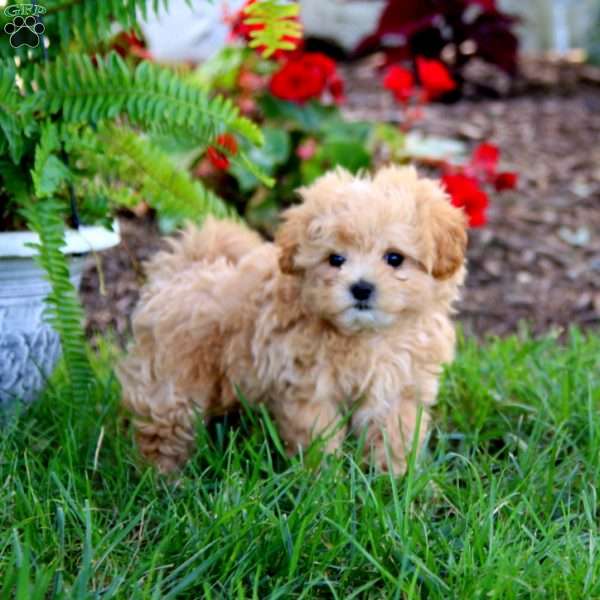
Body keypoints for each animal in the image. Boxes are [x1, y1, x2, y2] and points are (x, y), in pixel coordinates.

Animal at [118, 165, 468, 474]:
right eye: (335, 259)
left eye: (394, 258)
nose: (361, 288)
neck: (366, 337)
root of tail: (181, 270)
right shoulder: (308, 388)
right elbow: (318, 440)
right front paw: (324, 484)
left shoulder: (397, 391)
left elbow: (394, 437)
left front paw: (395, 481)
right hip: (173, 378)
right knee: (163, 429)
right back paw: (163, 481)